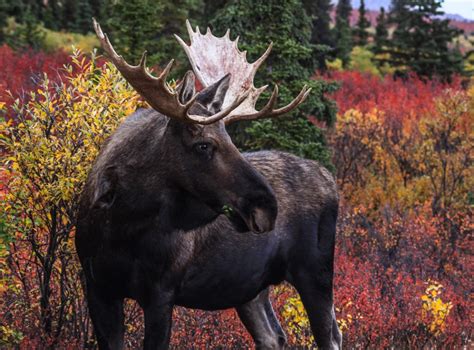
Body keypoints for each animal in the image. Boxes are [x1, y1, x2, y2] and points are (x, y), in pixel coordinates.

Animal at [74, 19, 342, 350]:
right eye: (203, 145)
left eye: (231, 139)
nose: (267, 207)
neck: (121, 224)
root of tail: (329, 179)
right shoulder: (98, 288)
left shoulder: (161, 292)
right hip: (251, 287)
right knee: (273, 336)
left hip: (316, 272)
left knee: (330, 336)